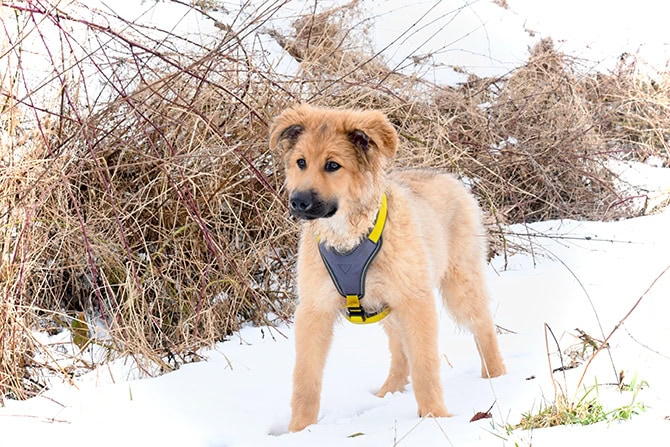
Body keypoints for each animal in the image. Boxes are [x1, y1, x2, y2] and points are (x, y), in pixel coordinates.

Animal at [270, 105, 506, 434]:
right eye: (300, 162)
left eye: (333, 165)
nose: (298, 202)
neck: (348, 237)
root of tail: (446, 176)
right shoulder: (315, 310)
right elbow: (305, 378)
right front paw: (299, 431)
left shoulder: (415, 301)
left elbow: (425, 365)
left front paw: (434, 417)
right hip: (386, 305)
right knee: (399, 347)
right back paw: (389, 391)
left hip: (459, 285)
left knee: (483, 326)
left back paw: (496, 377)